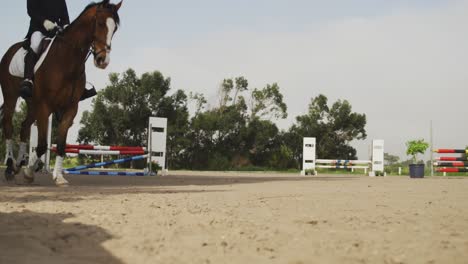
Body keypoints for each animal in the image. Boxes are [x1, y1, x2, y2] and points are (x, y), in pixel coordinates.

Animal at [0, 0, 122, 186]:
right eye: (101, 23)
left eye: (114, 29)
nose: (103, 61)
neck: (67, 59)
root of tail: (10, 51)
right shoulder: (45, 106)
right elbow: (42, 145)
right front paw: (29, 172)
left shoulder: (70, 108)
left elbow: (61, 144)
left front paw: (58, 177)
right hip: (11, 97)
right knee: (8, 125)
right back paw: (9, 166)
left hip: (32, 104)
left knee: (24, 127)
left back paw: (19, 163)